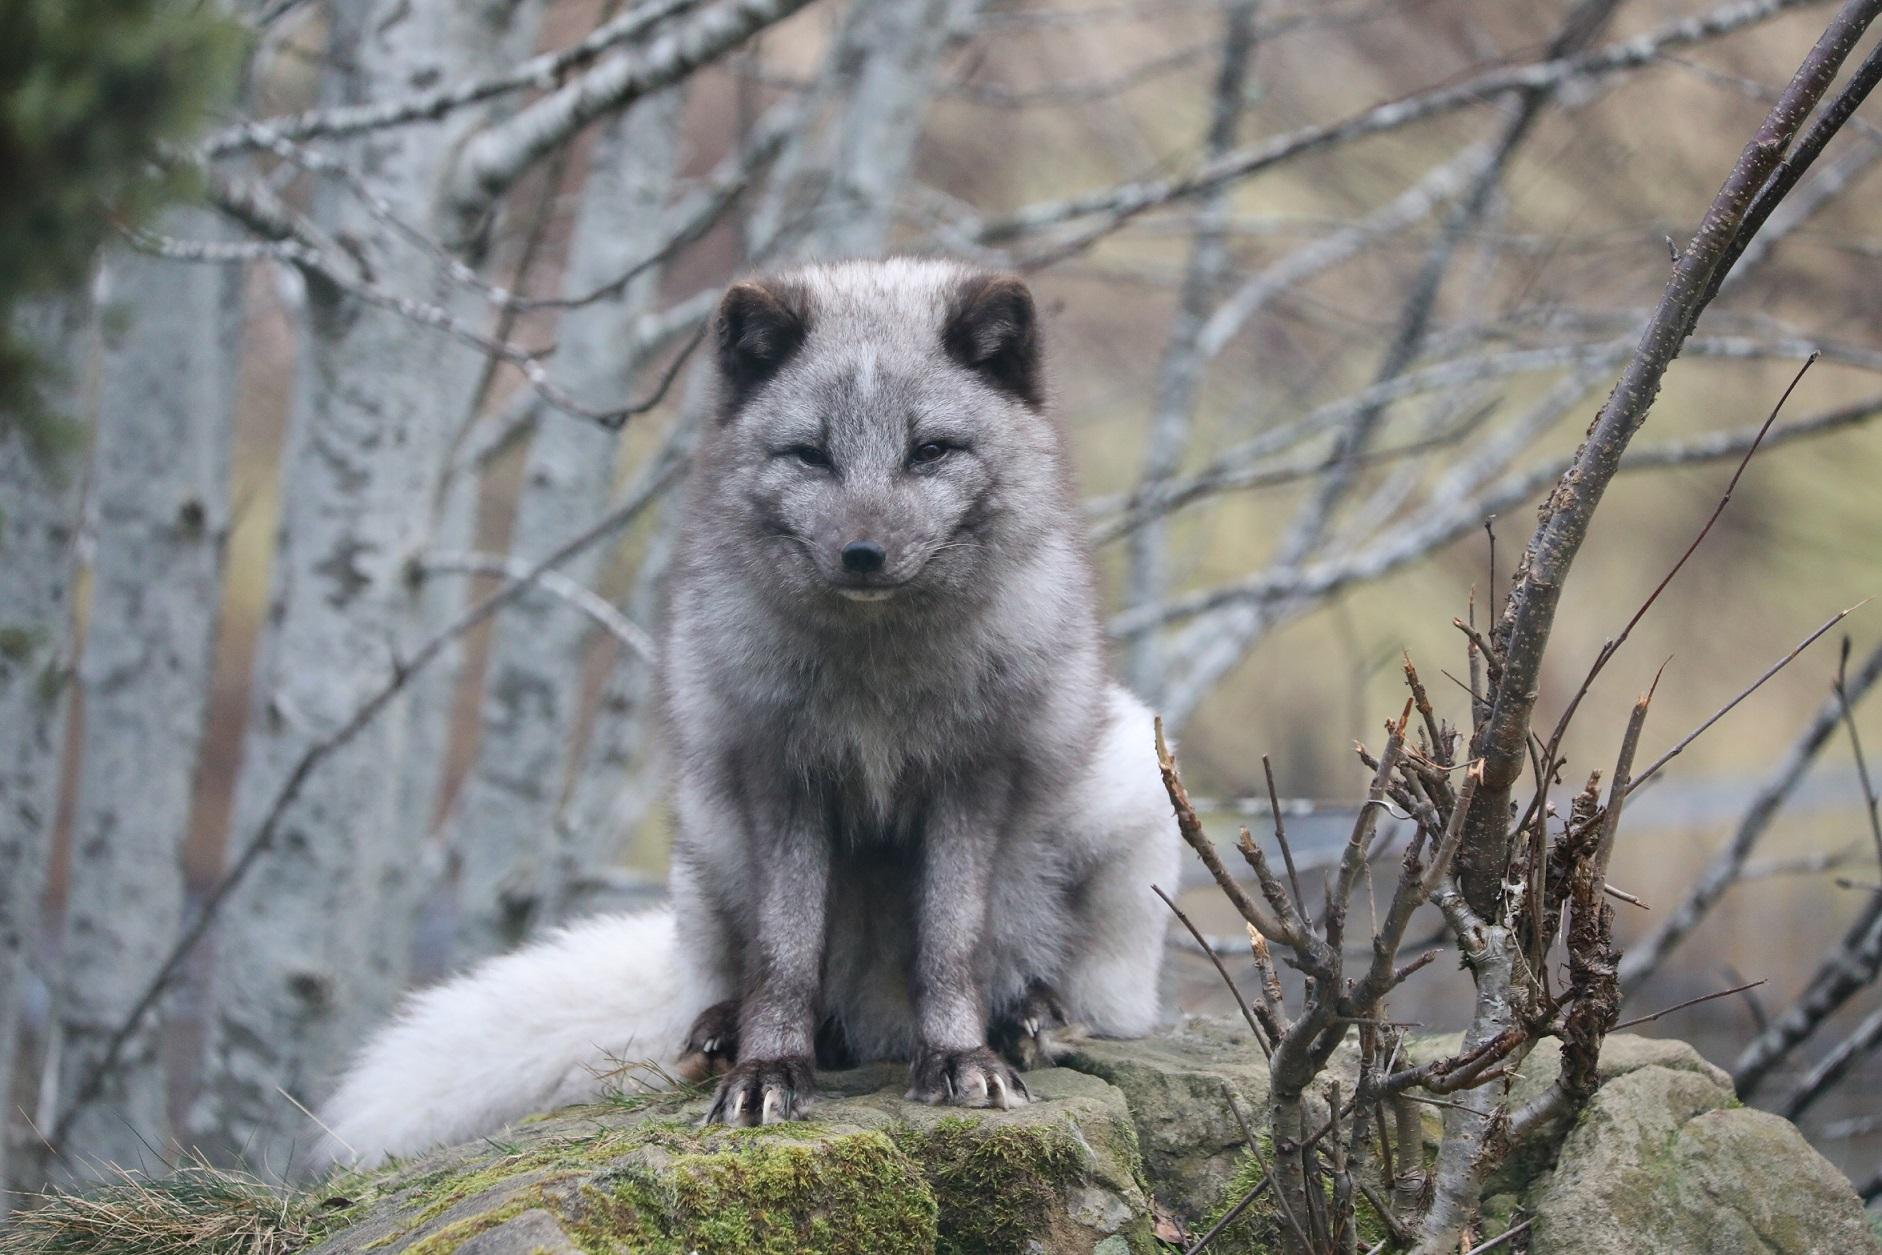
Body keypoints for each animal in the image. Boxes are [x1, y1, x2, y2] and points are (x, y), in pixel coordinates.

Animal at [317, 258, 1179, 1166]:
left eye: (931, 450)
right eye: (809, 453)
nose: (863, 554)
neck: (875, 678)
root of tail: (877, 1022)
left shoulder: (971, 773)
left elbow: (949, 942)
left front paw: (959, 1056)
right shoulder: (779, 773)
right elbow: (783, 951)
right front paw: (768, 1068)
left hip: (1129, 783)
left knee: (1092, 996)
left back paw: (1031, 1020)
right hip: (704, 836)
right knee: (735, 983)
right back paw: (731, 1032)